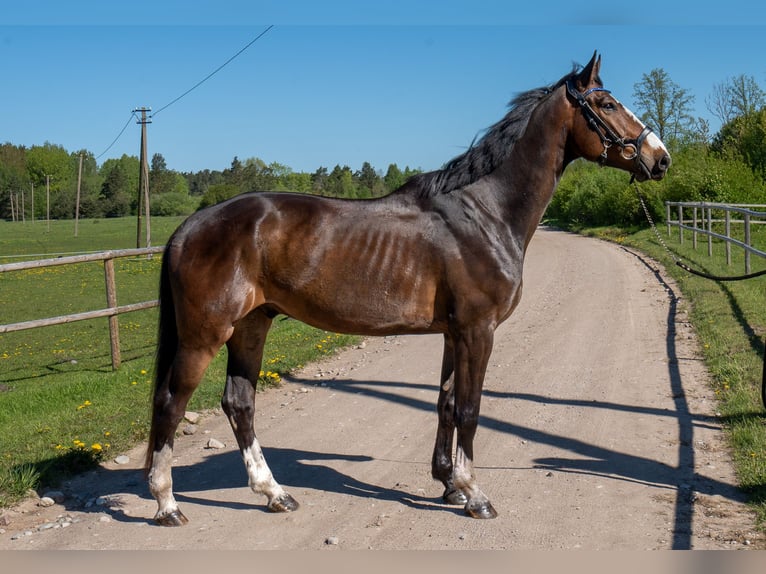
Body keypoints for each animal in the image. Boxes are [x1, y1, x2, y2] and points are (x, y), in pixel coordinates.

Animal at [146, 51, 672, 528]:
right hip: (204, 336)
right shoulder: (478, 331)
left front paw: (449, 485)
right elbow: (470, 410)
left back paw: (274, 493)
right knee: (172, 403)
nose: (660, 158)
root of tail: (191, 225)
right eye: (606, 103)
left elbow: (446, 404)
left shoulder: (454, 334)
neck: (486, 212)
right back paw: (167, 503)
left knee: (239, 403)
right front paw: (475, 495)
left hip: (251, 326)